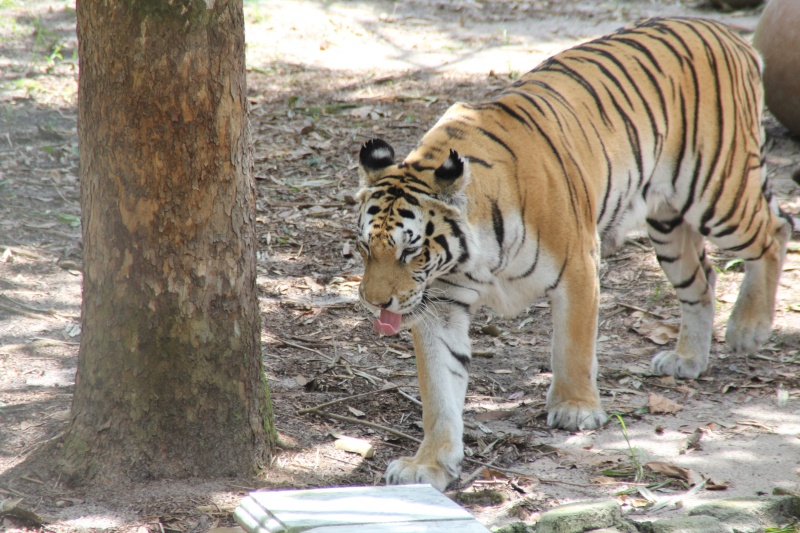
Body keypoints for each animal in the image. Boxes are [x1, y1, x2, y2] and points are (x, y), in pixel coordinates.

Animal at [354, 16, 788, 490]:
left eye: (410, 250)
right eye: (365, 248)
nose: (374, 303)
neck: (474, 254)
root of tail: (726, 32)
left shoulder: (578, 267)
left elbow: (572, 347)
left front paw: (576, 408)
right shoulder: (441, 304)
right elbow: (439, 388)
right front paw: (428, 463)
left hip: (718, 191)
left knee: (775, 231)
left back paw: (748, 329)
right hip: (668, 223)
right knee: (703, 279)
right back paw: (688, 358)